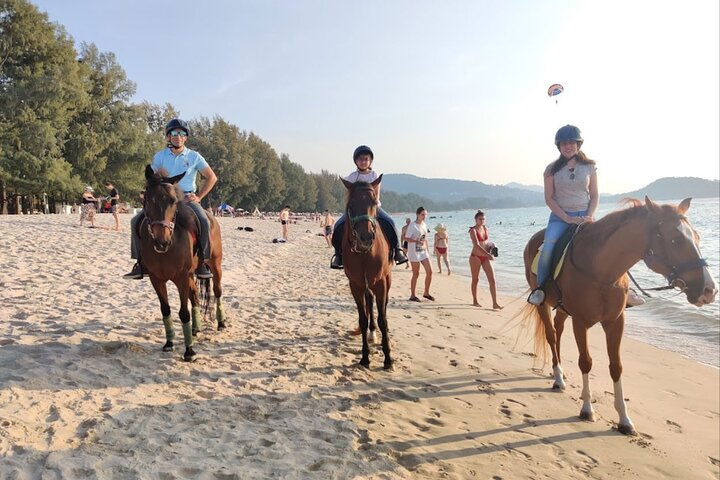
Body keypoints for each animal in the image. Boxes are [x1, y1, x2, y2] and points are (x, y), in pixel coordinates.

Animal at [141, 165, 225, 360]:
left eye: (173, 201)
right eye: (148, 200)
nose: (161, 242)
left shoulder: (181, 278)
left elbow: (183, 313)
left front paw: (189, 351)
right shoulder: (156, 279)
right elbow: (166, 310)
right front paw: (169, 343)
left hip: (215, 265)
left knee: (217, 291)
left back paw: (221, 323)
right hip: (191, 275)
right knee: (194, 296)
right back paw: (195, 329)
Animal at [338, 176, 394, 372]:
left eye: (374, 202)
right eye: (351, 204)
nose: (366, 238)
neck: (364, 253)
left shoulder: (381, 283)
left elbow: (383, 319)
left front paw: (388, 359)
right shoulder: (356, 284)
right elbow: (362, 320)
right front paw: (365, 358)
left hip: (387, 279)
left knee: (383, 306)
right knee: (369, 302)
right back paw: (372, 332)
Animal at [524, 196, 716, 436]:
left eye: (697, 236)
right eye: (675, 241)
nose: (709, 290)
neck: (601, 271)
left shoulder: (615, 322)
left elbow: (616, 367)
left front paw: (624, 419)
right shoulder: (580, 322)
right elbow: (585, 362)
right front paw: (587, 409)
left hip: (562, 309)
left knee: (558, 330)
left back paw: (558, 373)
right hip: (543, 305)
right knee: (551, 334)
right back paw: (558, 377)